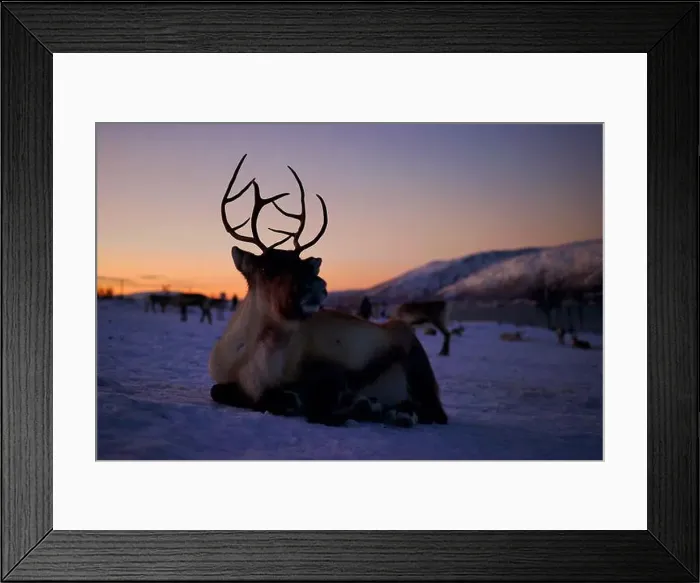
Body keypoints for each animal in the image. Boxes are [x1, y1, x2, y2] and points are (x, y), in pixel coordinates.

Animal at [208, 155, 448, 428]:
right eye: (267, 269)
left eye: (303, 264)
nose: (317, 285)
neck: (256, 366)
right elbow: (219, 391)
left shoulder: (331, 372)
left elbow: (309, 405)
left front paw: (359, 406)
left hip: (416, 362)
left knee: (436, 412)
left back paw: (396, 412)